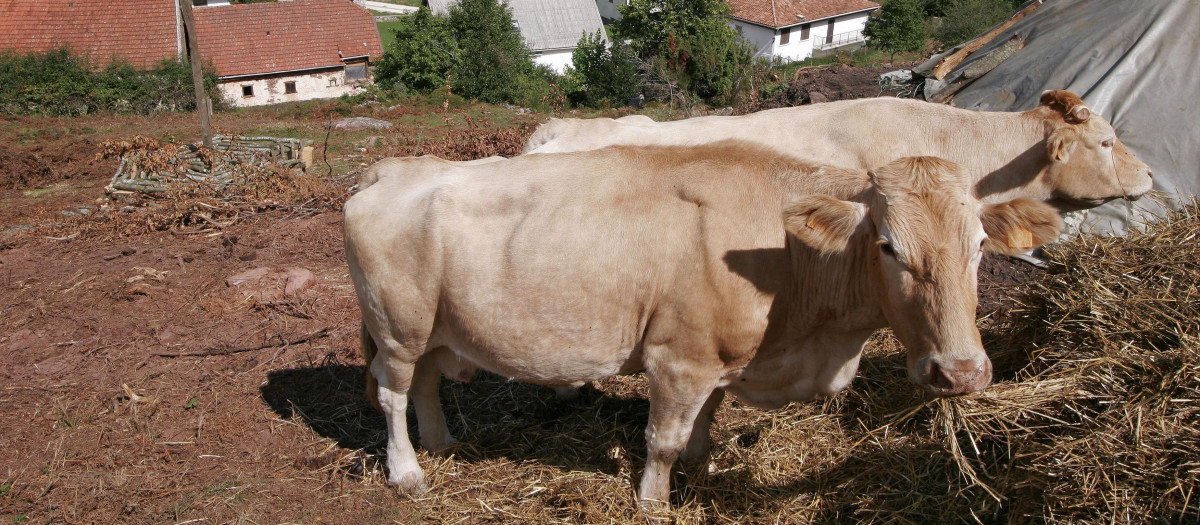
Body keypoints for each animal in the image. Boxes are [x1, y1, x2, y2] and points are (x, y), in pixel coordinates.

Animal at [343, 143, 1063, 506]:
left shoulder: (722, 357)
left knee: (427, 384)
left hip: (436, 326)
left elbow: (707, 421)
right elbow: (660, 439)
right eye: (888, 246)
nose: (960, 372)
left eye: (979, 244)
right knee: (392, 394)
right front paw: (654, 500)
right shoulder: (677, 357)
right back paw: (407, 472)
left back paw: (442, 443)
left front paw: (704, 463)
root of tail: (395, 167)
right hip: (399, 326)